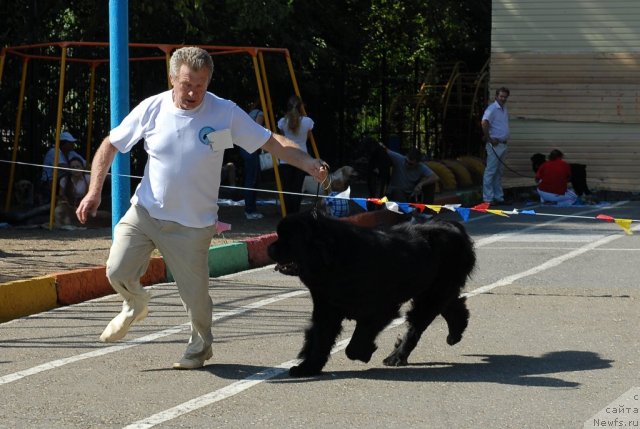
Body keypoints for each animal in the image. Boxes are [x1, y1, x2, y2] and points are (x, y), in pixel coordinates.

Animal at [266, 210, 476, 374]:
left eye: (288, 238)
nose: (269, 248)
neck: (336, 260)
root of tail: (454, 227)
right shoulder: (326, 309)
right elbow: (320, 339)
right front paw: (307, 368)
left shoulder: (379, 309)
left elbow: (354, 344)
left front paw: (364, 353)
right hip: (432, 289)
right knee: (452, 305)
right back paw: (455, 333)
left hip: (433, 292)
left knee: (417, 326)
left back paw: (396, 357)